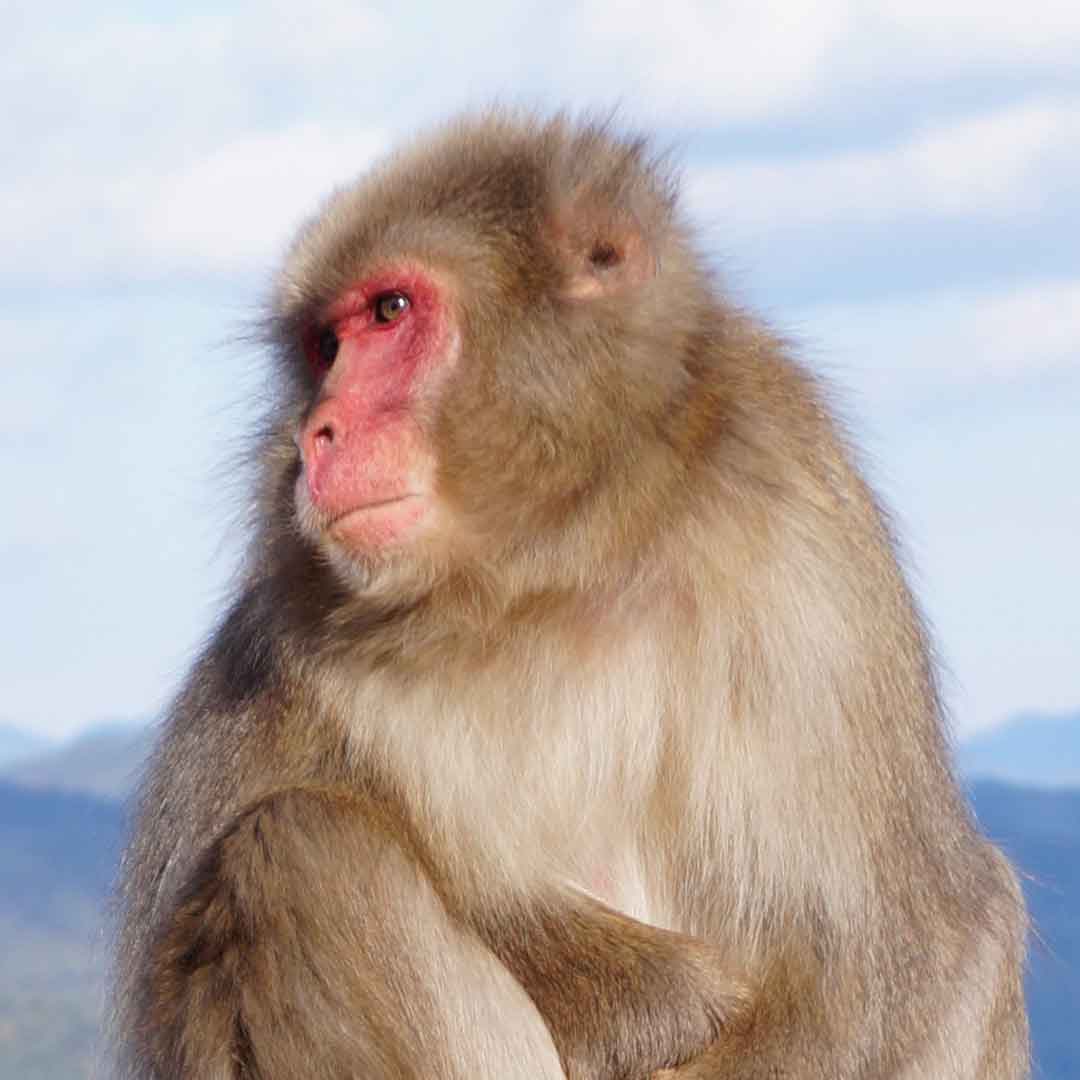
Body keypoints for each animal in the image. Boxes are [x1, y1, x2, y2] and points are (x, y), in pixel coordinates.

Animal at [111, 111, 1029, 1080]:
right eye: (326, 347)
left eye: (389, 312)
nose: (318, 432)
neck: (549, 570)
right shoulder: (283, 641)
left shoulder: (799, 519)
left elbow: (905, 952)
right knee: (305, 853)